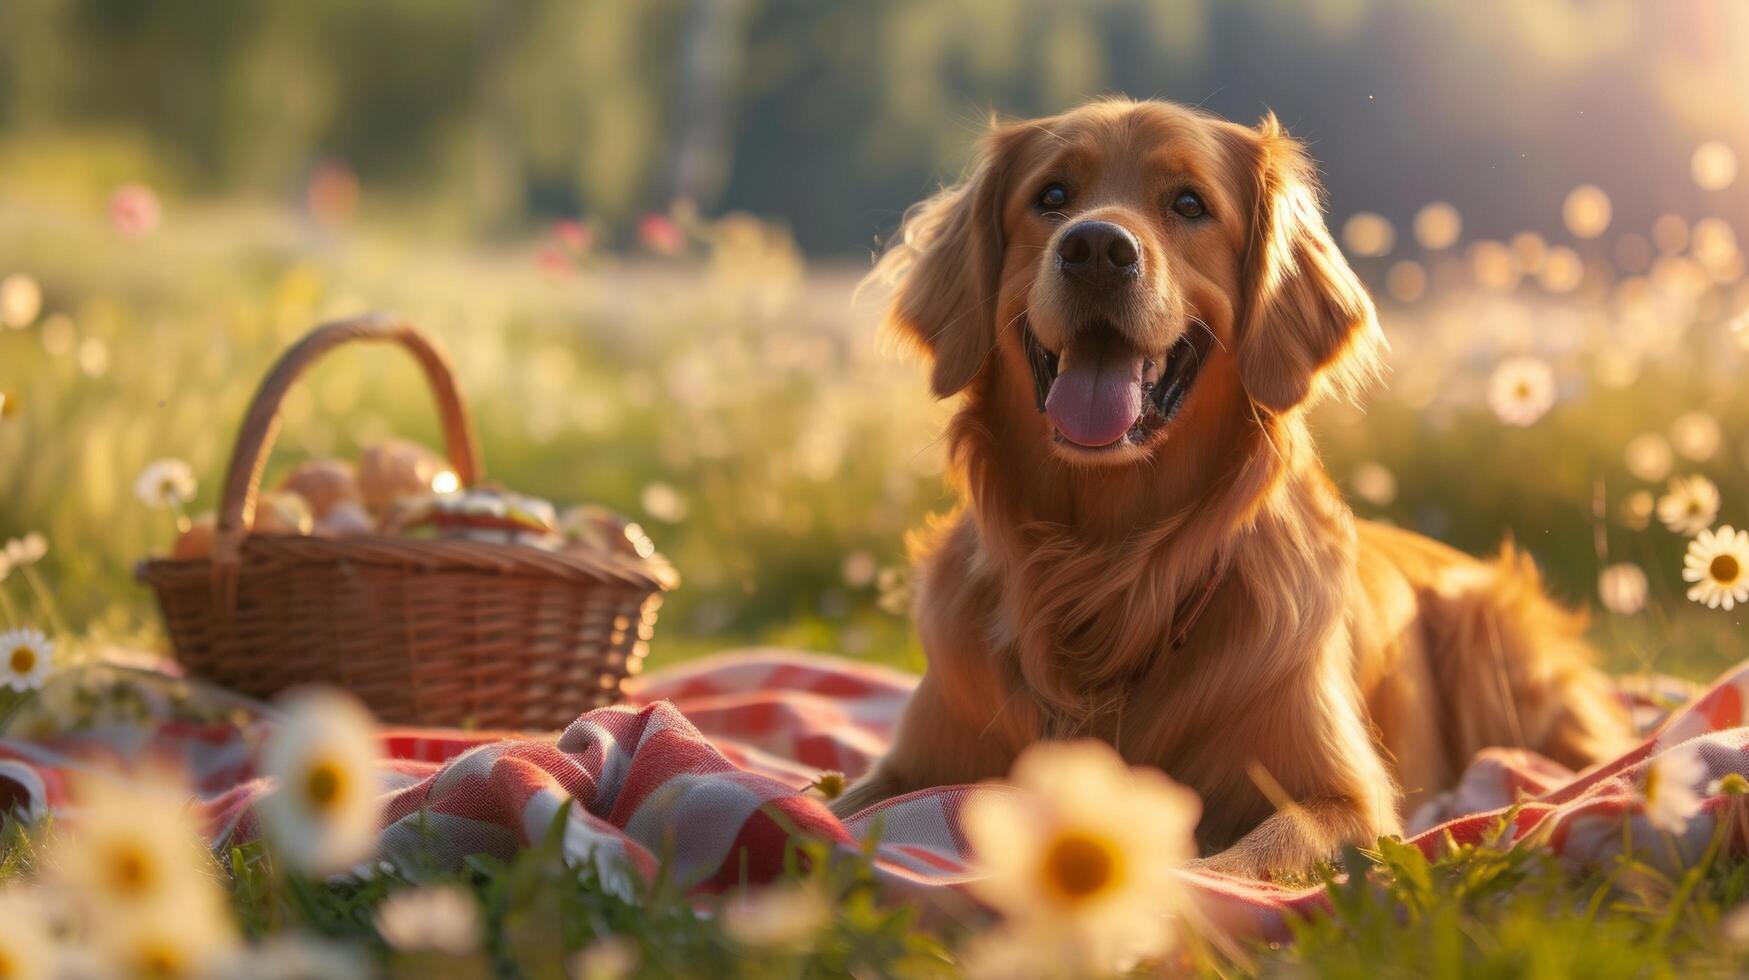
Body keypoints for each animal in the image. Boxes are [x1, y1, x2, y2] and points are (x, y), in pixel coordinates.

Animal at [825, 99, 1630, 875]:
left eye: (1189, 204)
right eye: (1050, 196)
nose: (1096, 249)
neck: (1104, 569)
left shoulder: (1346, 800)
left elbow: (1242, 861)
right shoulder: (912, 766)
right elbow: (822, 807)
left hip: (1491, 640)